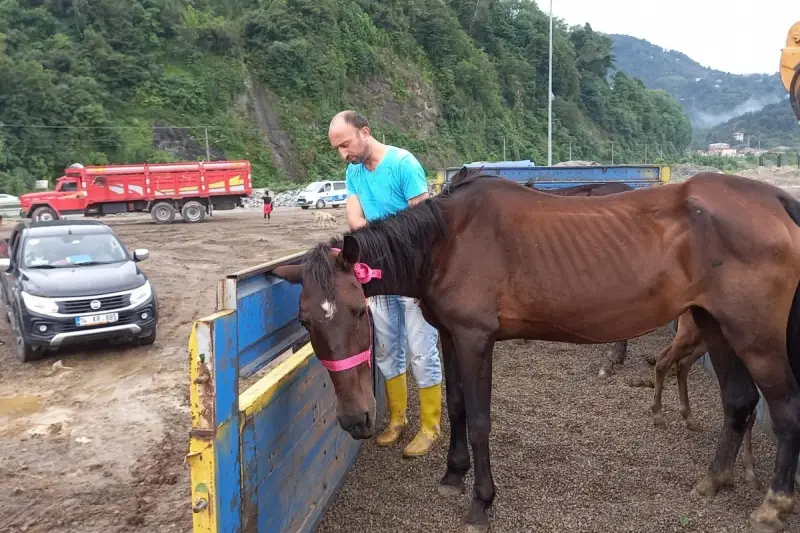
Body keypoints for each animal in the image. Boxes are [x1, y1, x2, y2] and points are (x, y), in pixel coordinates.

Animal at [272, 169, 800, 532]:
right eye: (307, 321)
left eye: (358, 311)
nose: (355, 420)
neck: (448, 240)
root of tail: (774, 198)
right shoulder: (451, 336)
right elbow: (457, 405)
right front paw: (453, 475)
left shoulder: (475, 340)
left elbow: (479, 419)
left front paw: (481, 503)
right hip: (714, 327)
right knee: (739, 402)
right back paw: (713, 481)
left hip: (755, 337)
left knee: (785, 409)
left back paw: (773, 505)